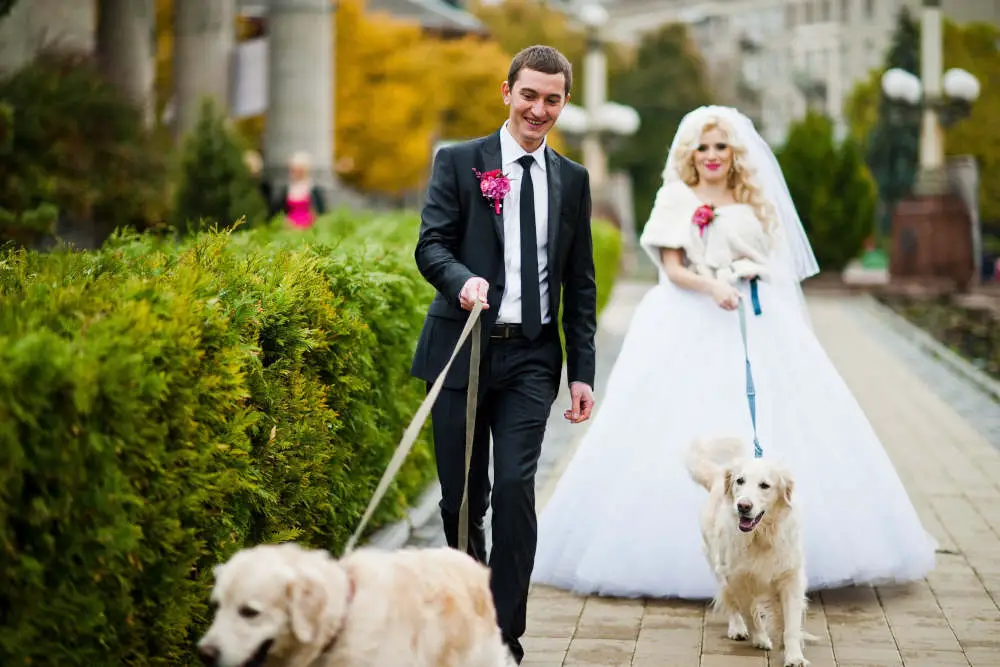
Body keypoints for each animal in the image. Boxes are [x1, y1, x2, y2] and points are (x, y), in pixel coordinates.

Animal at [688, 438, 812, 667]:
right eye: (740, 481)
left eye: (764, 485)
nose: (743, 506)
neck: (760, 536)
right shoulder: (737, 578)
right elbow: (748, 611)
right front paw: (761, 638)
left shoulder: (790, 577)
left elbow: (791, 624)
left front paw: (794, 656)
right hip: (718, 565)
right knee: (729, 600)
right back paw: (737, 628)